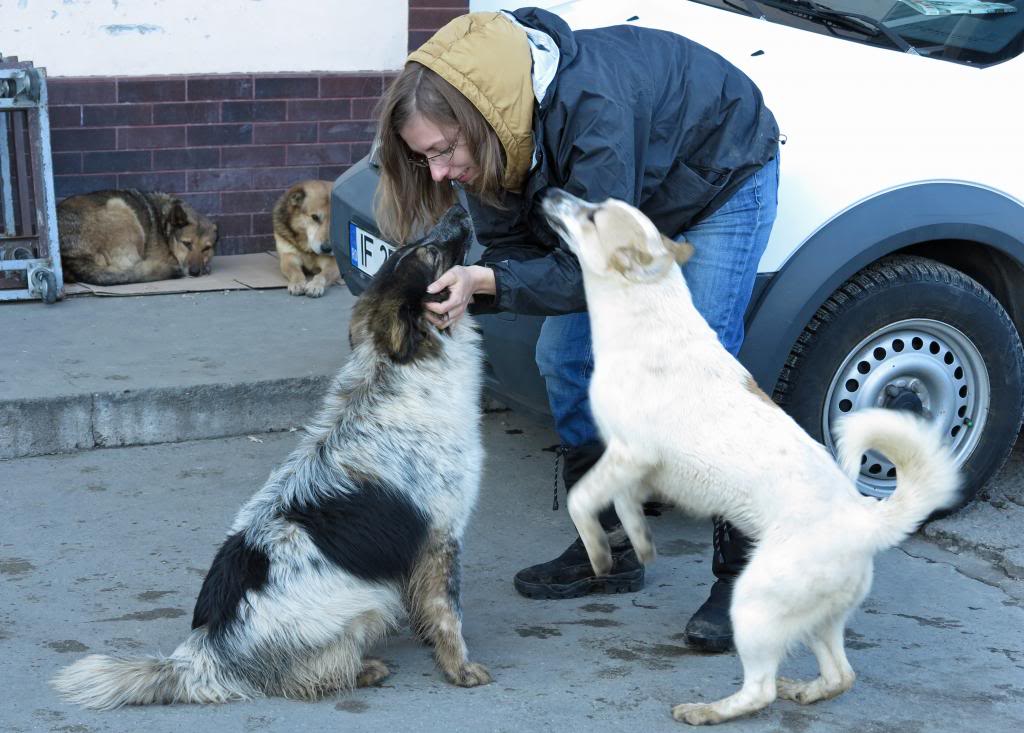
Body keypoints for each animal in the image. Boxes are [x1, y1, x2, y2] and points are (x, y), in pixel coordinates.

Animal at [51, 203, 491, 708]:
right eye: (430, 253)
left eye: (416, 246)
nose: (458, 207)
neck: (394, 375)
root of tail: (204, 655)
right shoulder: (441, 536)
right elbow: (448, 614)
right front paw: (460, 668)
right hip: (368, 602)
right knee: (303, 677)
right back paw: (364, 668)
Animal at [57, 189, 217, 286]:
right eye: (187, 244)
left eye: (206, 248)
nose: (195, 272)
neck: (165, 225)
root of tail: (70, 258)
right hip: (119, 206)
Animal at [540, 190, 962, 728]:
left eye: (592, 215)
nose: (551, 192)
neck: (646, 313)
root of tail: (867, 520)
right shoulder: (632, 467)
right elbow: (625, 508)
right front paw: (638, 543)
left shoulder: (629, 454)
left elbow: (580, 499)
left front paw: (597, 553)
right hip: (818, 619)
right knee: (841, 675)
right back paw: (804, 690)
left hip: (754, 604)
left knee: (759, 690)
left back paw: (708, 710)